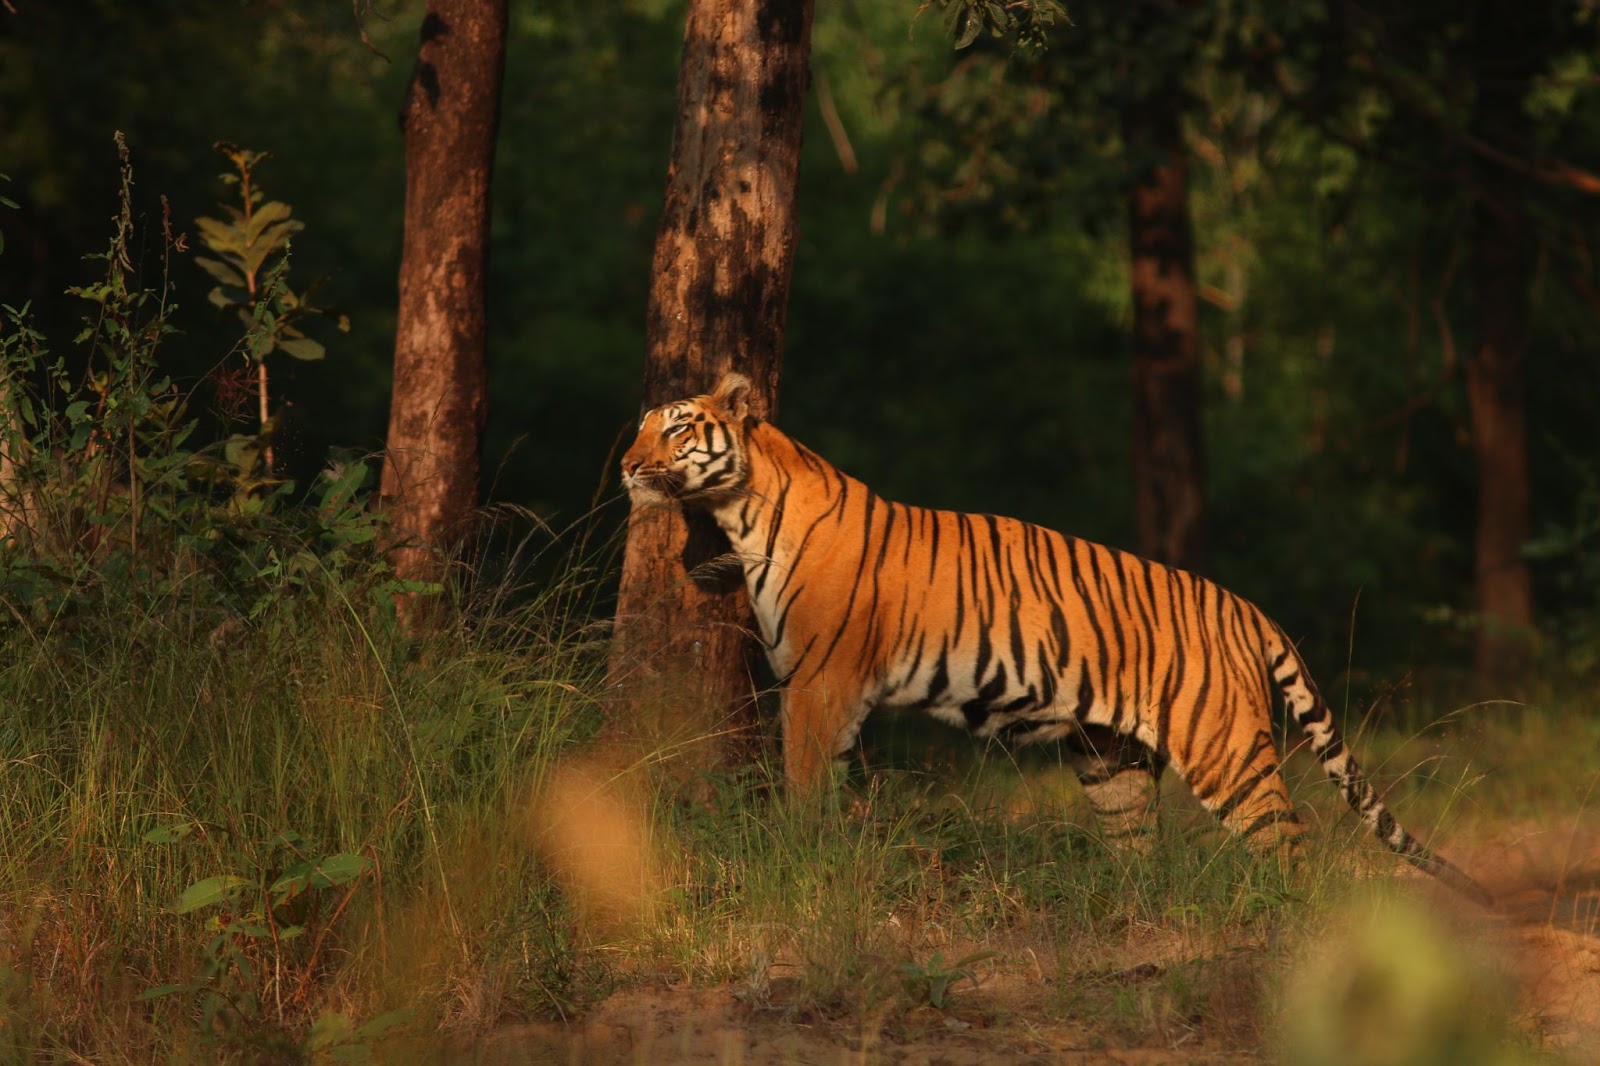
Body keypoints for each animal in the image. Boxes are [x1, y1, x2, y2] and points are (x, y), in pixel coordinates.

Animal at [617, 369, 1491, 902]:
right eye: (640, 429)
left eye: (678, 430)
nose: (624, 465)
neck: (742, 512)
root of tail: (1247, 606)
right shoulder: (821, 691)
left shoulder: (818, 685)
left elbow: (801, 790)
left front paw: (793, 862)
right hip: (1111, 760)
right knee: (1143, 852)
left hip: (1226, 749)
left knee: (1289, 846)